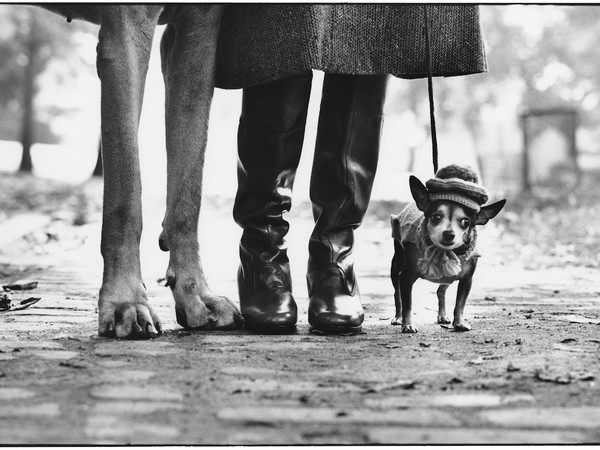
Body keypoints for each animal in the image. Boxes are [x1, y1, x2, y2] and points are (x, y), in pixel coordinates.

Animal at [392, 163, 504, 332]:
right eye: (436, 217)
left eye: (466, 222)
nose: (449, 234)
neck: (443, 252)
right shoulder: (406, 277)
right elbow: (408, 304)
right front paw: (408, 324)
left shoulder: (466, 280)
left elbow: (460, 304)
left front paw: (459, 322)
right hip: (396, 266)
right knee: (397, 294)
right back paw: (398, 317)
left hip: (447, 278)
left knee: (441, 291)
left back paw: (442, 316)